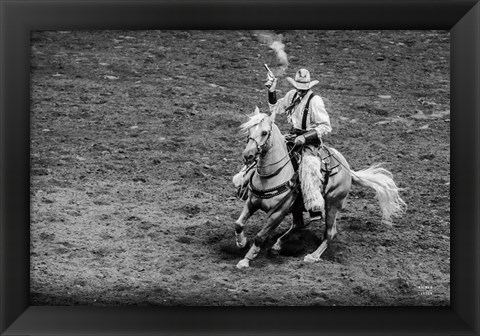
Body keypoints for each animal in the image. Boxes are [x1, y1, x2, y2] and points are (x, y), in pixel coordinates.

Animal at [234, 106, 406, 270]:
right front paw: (241, 243)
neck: (271, 175)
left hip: (332, 205)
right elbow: (238, 224)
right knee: (298, 224)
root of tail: (347, 169)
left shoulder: (278, 213)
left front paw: (246, 260)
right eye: (249, 130)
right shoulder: (251, 202)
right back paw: (277, 245)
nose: (248, 155)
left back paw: (313, 256)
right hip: (298, 206)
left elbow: (260, 236)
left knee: (330, 233)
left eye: (264, 132)